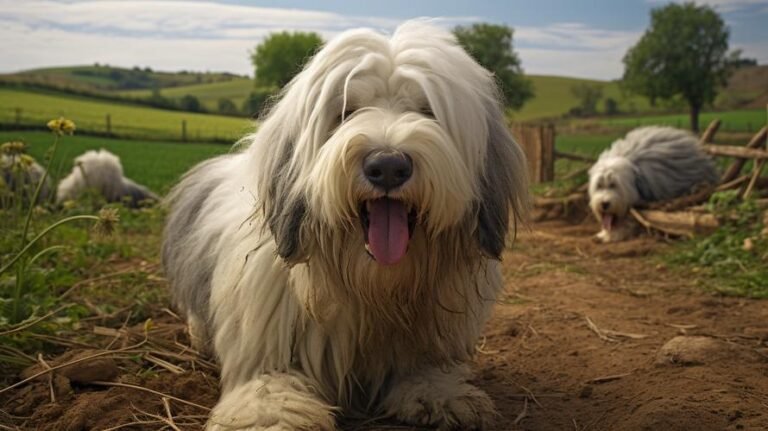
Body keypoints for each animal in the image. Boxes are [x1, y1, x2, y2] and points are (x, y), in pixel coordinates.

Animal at [164, 21, 528, 431]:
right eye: (345, 112)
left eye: (428, 110)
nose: (387, 166)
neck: (372, 285)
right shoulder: (268, 343)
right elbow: (268, 386)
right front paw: (272, 414)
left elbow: (426, 369)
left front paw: (441, 394)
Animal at [588, 127, 720, 243]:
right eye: (599, 186)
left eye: (614, 185)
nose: (604, 204)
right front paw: (603, 234)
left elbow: (631, 220)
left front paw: (612, 235)